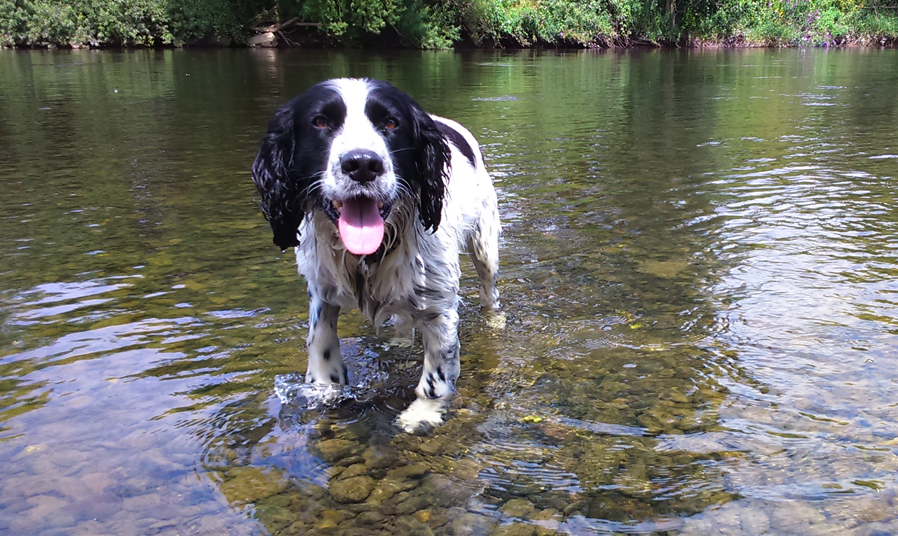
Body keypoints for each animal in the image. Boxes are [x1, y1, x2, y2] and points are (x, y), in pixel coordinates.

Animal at [250, 77, 496, 432]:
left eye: (391, 123)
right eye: (320, 122)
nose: (363, 164)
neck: (369, 255)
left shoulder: (438, 305)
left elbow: (436, 377)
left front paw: (422, 413)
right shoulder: (321, 288)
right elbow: (321, 342)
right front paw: (323, 389)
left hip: (485, 245)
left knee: (490, 291)